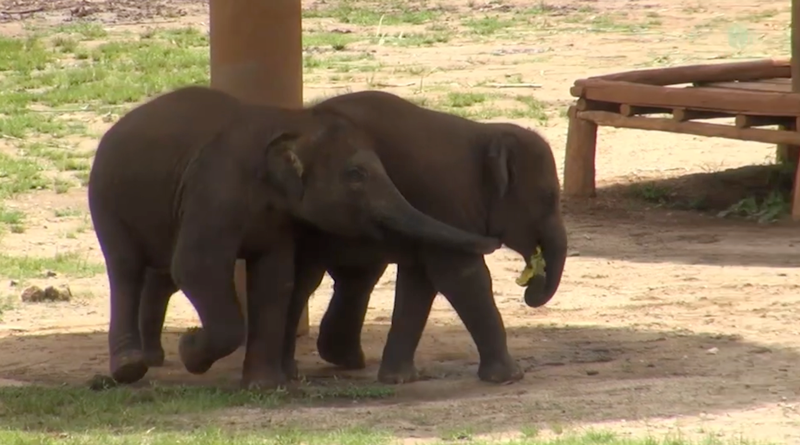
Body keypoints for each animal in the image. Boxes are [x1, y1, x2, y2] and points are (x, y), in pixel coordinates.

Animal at [87, 86, 500, 388]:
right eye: (356, 175)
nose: (494, 242)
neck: (291, 123)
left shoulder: (277, 216)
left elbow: (275, 278)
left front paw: (264, 387)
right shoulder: (214, 191)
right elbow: (197, 268)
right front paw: (190, 349)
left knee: (157, 272)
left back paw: (150, 359)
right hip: (106, 199)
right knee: (126, 269)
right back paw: (129, 368)